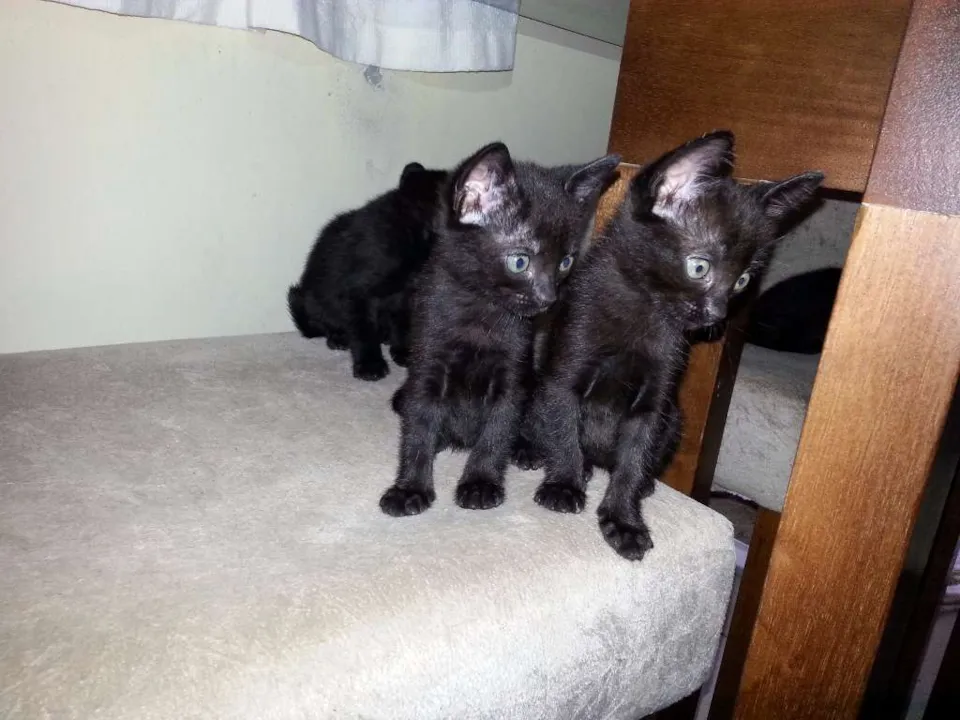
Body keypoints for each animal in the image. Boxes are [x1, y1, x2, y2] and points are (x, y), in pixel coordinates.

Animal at [287, 161, 448, 380]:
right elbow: (364, 330)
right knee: (326, 324)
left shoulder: (406, 296)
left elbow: (402, 324)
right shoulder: (358, 293)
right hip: (313, 302)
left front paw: (403, 350)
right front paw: (370, 364)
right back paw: (339, 338)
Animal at [379, 141, 621, 516]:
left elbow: (497, 429)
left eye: (565, 262)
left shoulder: (512, 373)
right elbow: (418, 427)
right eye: (520, 261)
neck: (480, 312)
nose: (549, 298)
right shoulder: (427, 364)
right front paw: (410, 488)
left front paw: (480, 482)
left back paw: (528, 448)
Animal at [523, 131, 823, 560]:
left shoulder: (655, 398)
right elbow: (563, 428)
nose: (716, 314)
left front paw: (624, 518)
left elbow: (633, 458)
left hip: (675, 418)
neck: (645, 311)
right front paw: (563, 485)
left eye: (742, 281)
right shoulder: (565, 374)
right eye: (699, 267)